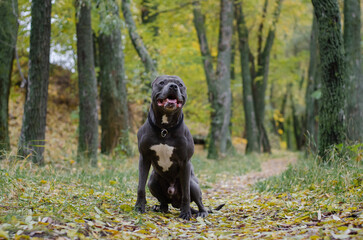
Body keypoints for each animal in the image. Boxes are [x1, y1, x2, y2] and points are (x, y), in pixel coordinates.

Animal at [134, 75, 209, 219]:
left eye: (180, 84)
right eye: (162, 82)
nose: (173, 86)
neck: (165, 128)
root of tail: (175, 202)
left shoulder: (185, 162)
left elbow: (186, 193)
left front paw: (185, 213)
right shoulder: (144, 158)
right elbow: (140, 187)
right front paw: (139, 207)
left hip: (193, 184)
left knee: (199, 201)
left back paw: (200, 212)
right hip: (153, 181)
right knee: (163, 201)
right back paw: (160, 208)